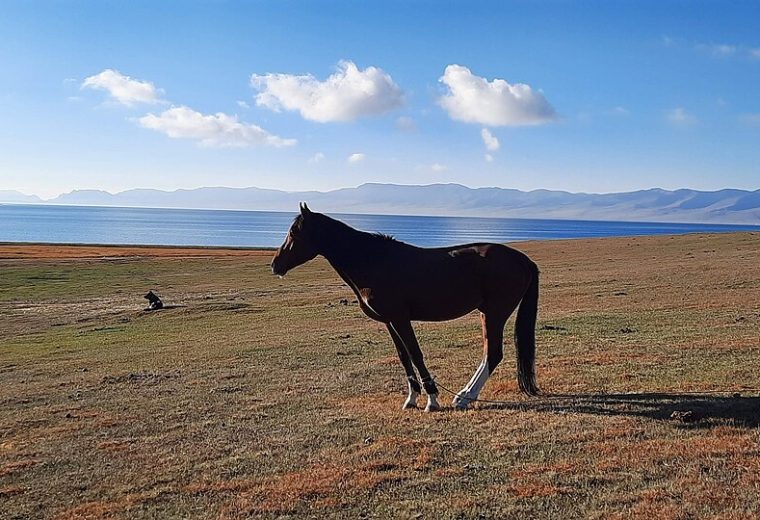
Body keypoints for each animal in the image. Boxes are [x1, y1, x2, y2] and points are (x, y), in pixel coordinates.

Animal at [271, 203, 540, 412]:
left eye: (294, 232)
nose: (275, 265)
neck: (374, 261)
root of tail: (523, 260)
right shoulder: (390, 321)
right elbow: (403, 356)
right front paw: (411, 399)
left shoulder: (401, 318)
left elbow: (415, 354)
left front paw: (432, 400)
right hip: (488, 312)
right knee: (488, 354)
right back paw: (464, 394)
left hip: (495, 312)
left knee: (493, 354)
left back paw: (465, 397)